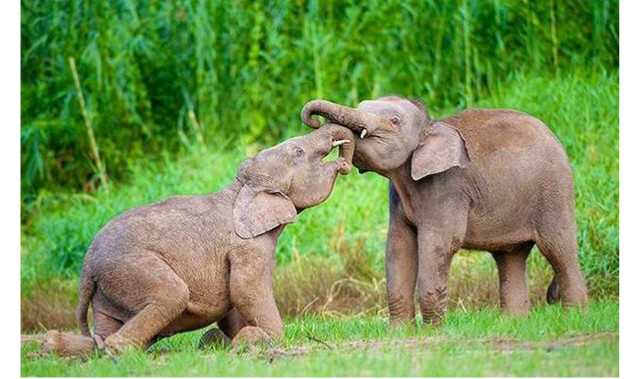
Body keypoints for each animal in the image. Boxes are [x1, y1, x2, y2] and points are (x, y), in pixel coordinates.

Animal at [41, 124, 356, 356]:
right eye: (299, 152)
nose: (344, 161)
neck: (240, 188)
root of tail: (86, 264)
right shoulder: (247, 246)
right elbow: (246, 290)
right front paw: (270, 339)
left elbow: (234, 302)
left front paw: (227, 340)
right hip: (127, 267)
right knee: (171, 295)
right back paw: (119, 352)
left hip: (107, 289)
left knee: (105, 331)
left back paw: (58, 346)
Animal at [302, 96, 588, 326]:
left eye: (394, 121)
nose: (317, 123)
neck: (431, 126)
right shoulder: (396, 196)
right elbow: (399, 245)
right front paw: (400, 332)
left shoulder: (447, 187)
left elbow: (438, 244)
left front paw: (434, 330)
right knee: (510, 257)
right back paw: (514, 324)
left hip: (554, 189)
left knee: (558, 249)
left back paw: (574, 317)